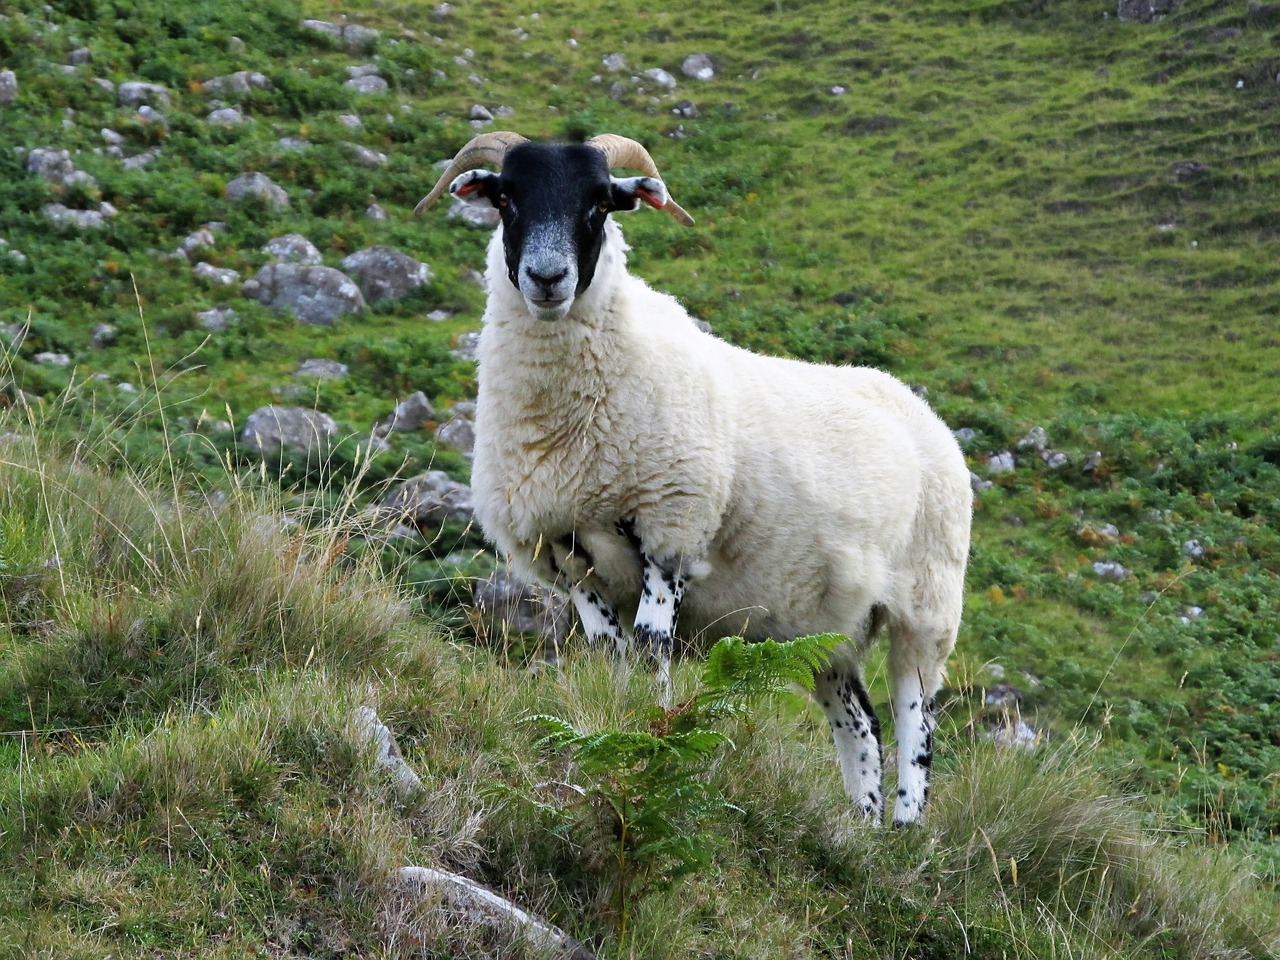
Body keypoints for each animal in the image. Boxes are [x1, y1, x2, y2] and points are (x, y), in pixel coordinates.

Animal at [417, 133, 967, 829]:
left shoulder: (670, 528)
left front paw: (648, 739)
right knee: (859, 725)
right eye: (506, 199)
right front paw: (617, 726)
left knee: (914, 720)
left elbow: (652, 644)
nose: (547, 279)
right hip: (828, 627)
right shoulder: (570, 553)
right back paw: (861, 831)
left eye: (600, 204)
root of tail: (920, 409)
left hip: (927, 605)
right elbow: (611, 652)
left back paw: (903, 832)